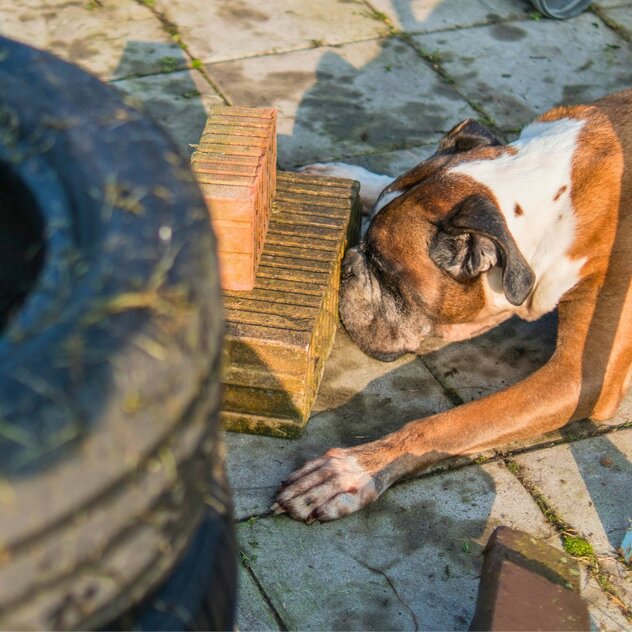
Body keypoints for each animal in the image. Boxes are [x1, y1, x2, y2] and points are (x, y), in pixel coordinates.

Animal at [272, 89, 632, 524]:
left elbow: (451, 424)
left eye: (381, 267)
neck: (558, 205)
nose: (349, 261)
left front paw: (353, 470)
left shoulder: (580, 377)